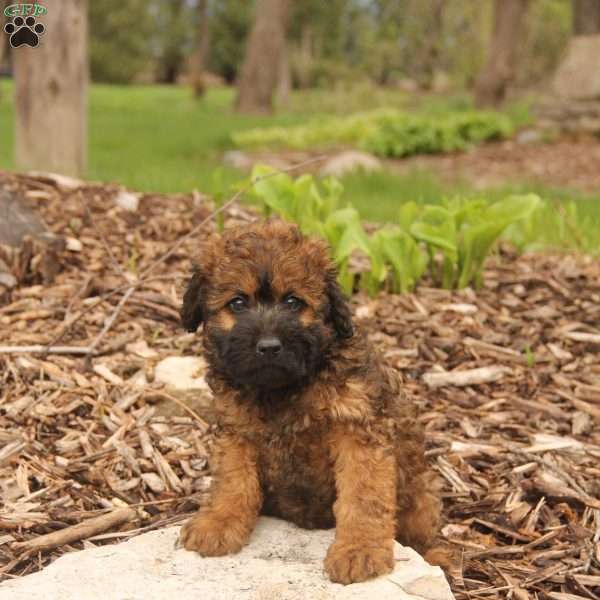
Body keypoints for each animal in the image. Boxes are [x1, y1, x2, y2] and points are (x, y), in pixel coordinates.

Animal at [178, 223, 440, 584]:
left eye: (293, 301)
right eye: (237, 303)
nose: (269, 346)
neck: (283, 389)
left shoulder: (357, 429)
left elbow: (363, 495)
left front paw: (359, 551)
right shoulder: (235, 431)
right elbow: (233, 481)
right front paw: (218, 522)